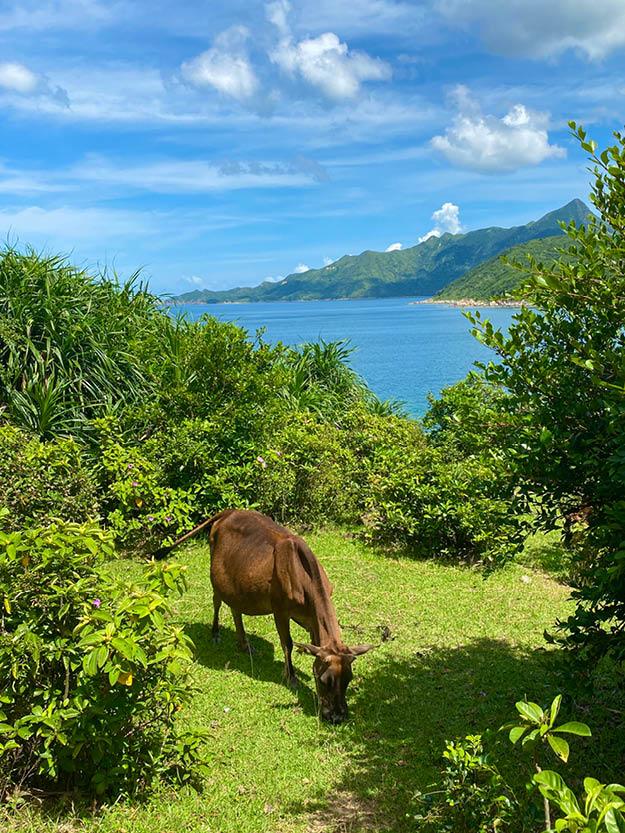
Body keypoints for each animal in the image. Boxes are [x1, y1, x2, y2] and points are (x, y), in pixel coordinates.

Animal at [155, 508, 372, 720]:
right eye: (325, 680)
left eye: (348, 679)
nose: (337, 717)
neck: (305, 579)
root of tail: (228, 512)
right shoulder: (280, 610)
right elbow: (287, 643)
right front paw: (290, 676)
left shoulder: (312, 619)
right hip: (216, 577)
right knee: (217, 601)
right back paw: (216, 633)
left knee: (236, 609)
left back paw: (244, 644)